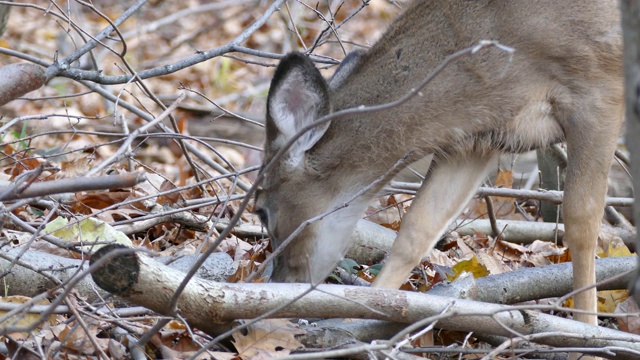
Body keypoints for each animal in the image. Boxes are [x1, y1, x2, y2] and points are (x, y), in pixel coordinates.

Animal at [256, 0, 624, 332]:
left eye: (261, 211)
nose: (277, 282)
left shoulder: (599, 87)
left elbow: (582, 221)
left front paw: (589, 335)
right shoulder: (478, 138)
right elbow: (417, 230)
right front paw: (361, 319)